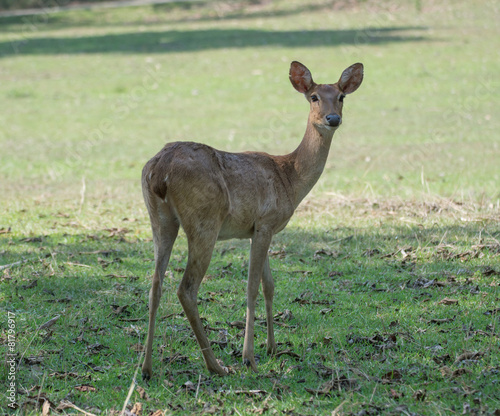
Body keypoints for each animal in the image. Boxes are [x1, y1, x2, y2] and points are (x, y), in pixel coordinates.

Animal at [141, 61, 364, 380]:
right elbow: (251, 287)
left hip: (158, 218)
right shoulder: (267, 221)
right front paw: (250, 357)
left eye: (342, 96)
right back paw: (216, 365)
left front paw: (272, 347)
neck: (289, 179)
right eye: (314, 97)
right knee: (186, 288)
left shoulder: (258, 229)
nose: (332, 118)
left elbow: (269, 284)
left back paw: (146, 368)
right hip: (204, 221)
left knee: (155, 284)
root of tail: (160, 171)